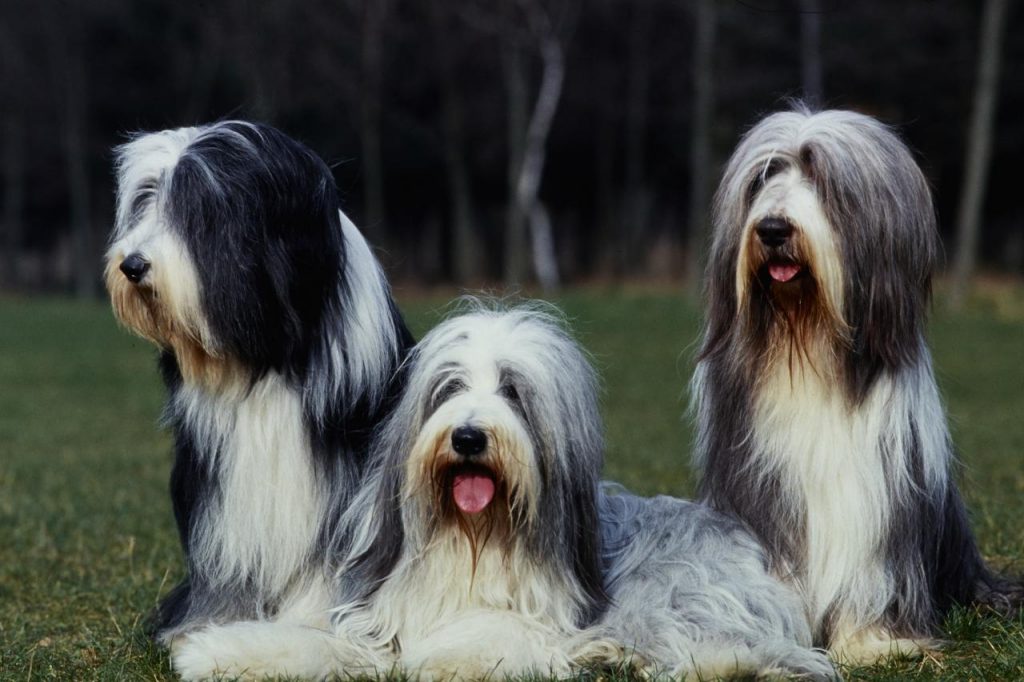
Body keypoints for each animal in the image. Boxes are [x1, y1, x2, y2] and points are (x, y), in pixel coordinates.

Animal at [101, 120, 409, 643]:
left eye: (200, 212)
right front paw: (211, 624)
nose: (133, 265)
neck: (261, 359)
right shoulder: (218, 490)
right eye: (144, 203)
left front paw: (310, 622)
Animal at [167, 305, 835, 679]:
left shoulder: (540, 618)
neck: (474, 539)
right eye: (449, 387)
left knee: (729, 644)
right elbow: (315, 643)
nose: (468, 436)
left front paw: (443, 660)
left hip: (671, 590)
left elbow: (486, 634)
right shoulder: (374, 615)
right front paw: (217, 653)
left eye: (513, 391)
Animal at [692, 103, 1019, 659]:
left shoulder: (880, 483)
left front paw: (875, 641)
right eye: (761, 180)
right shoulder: (759, 482)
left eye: (823, 180)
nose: (773, 229)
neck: (809, 344)